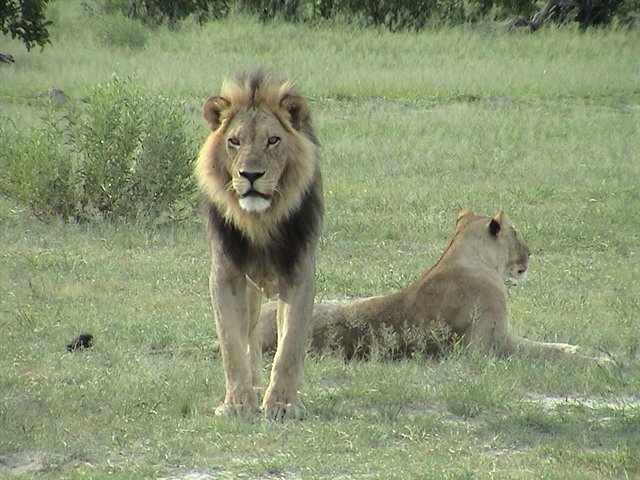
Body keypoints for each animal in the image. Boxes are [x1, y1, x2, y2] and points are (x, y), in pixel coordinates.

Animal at [196, 70, 323, 420]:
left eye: (273, 140)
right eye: (234, 141)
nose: (250, 175)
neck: (260, 220)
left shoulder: (299, 273)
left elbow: (290, 345)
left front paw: (283, 404)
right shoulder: (226, 275)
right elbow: (232, 344)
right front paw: (238, 404)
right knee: (250, 335)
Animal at [260, 209, 587, 361]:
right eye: (516, 233)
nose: (529, 253)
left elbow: (548, 344)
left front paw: (578, 348)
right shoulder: (490, 346)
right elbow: (546, 352)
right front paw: (589, 358)